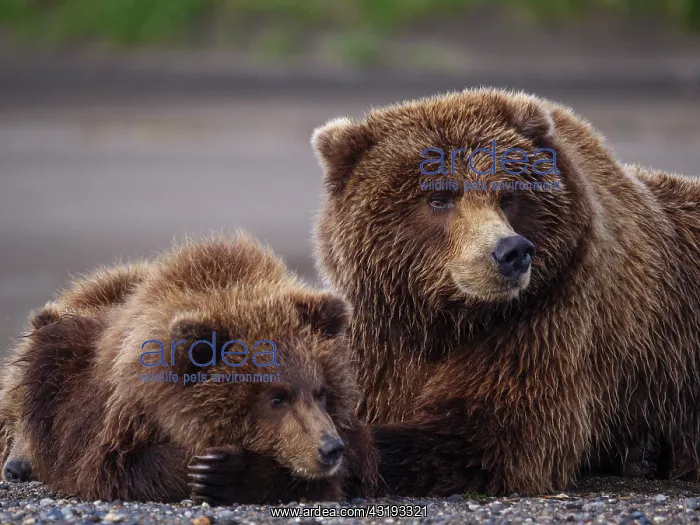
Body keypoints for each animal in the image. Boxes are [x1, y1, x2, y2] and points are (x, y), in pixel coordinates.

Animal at [3, 234, 378, 503]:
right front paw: (207, 468)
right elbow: (117, 470)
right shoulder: (114, 426)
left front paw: (228, 472)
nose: (329, 448)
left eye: (322, 392)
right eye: (276, 398)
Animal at [310, 87, 700, 496]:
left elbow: (491, 434)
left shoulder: (543, 324)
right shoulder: (381, 339)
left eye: (509, 196)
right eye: (439, 198)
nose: (512, 251)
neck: (446, 321)